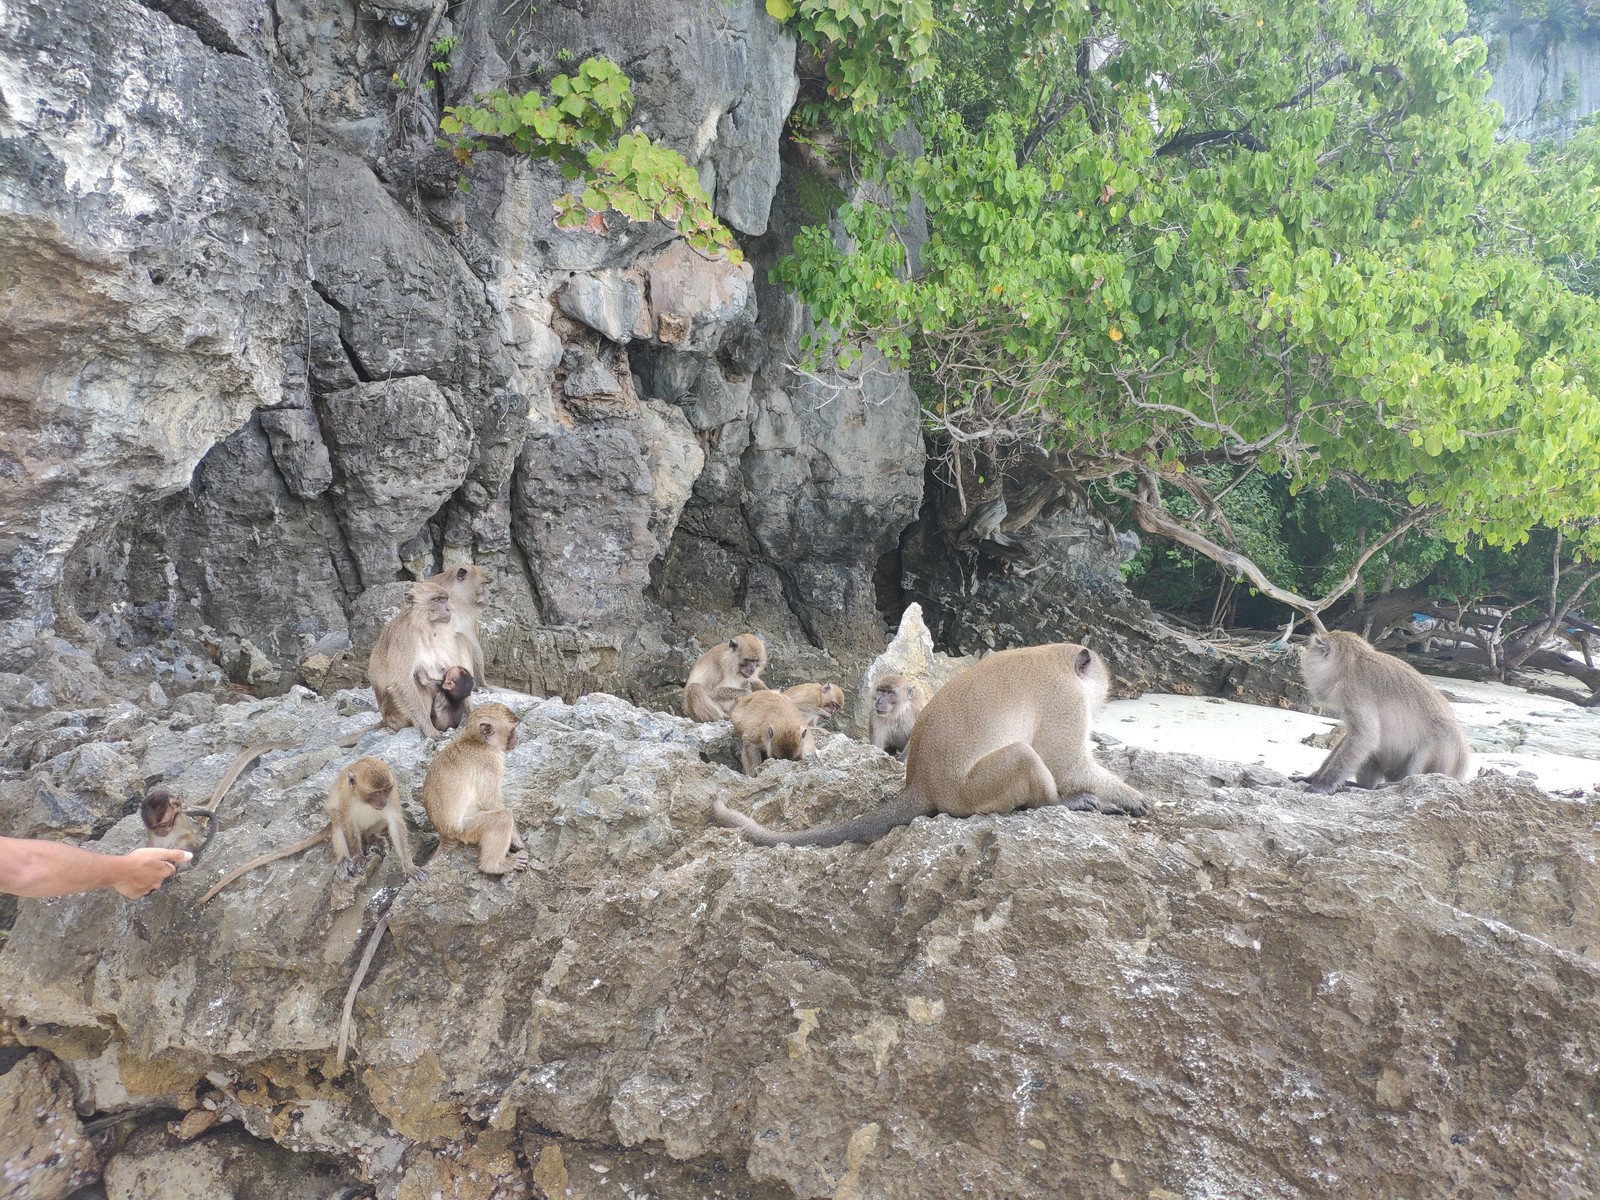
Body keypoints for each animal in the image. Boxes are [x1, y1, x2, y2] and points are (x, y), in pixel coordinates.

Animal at [194, 755, 422, 908]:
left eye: (386, 790)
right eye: (376, 793)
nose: (382, 802)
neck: (362, 799)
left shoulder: (393, 796)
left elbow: (396, 823)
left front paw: (409, 867)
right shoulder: (346, 799)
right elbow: (346, 822)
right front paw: (357, 857)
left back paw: (373, 837)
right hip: (337, 821)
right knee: (338, 823)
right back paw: (344, 860)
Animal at [419, 700, 531, 876]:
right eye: (513, 729)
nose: (518, 738)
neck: (476, 741)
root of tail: (444, 834)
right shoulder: (489, 764)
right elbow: (490, 801)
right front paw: (515, 838)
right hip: (464, 830)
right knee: (502, 818)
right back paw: (493, 866)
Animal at [707, 643, 1145, 851]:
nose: (1102, 699)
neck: (1056, 657)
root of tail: (921, 782)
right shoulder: (1066, 698)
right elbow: (1066, 763)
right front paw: (1129, 796)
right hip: (971, 794)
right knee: (1023, 756)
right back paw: (1058, 803)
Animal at [1292, 633, 1465, 793]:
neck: (1351, 664)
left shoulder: (1354, 691)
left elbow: (1365, 737)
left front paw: (1324, 783)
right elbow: (1356, 738)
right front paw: (1314, 776)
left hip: (1442, 756)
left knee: (1438, 737)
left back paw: (1401, 782)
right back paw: (1362, 786)